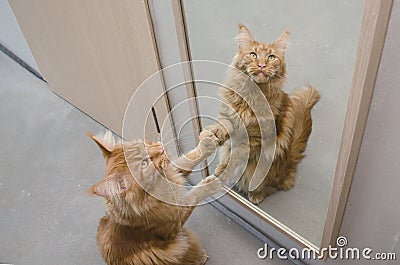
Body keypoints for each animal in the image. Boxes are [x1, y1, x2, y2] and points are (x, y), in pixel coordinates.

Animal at [87, 129, 222, 262]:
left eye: (142, 145)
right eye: (144, 164)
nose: (161, 148)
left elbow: (187, 161)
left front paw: (206, 145)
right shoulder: (174, 224)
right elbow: (192, 197)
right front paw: (211, 184)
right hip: (176, 247)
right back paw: (200, 257)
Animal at [208, 24, 320, 202]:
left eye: (271, 57)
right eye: (253, 55)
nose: (261, 65)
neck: (250, 98)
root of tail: (289, 164)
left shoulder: (256, 140)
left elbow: (235, 155)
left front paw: (221, 172)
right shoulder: (229, 115)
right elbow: (223, 126)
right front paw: (214, 134)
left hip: (266, 172)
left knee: (273, 187)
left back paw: (256, 195)